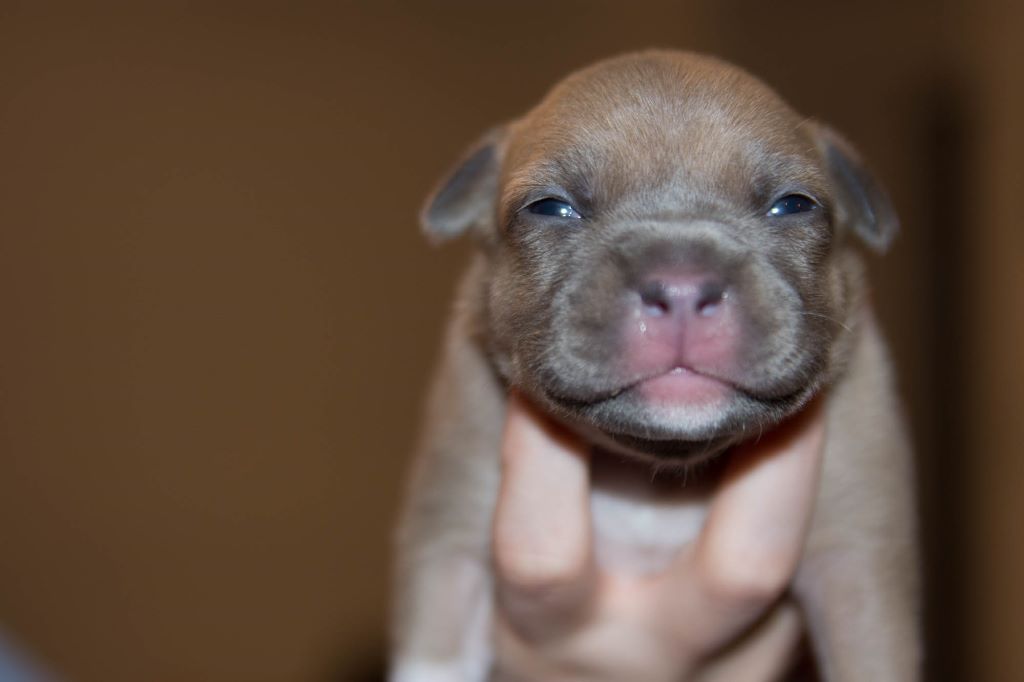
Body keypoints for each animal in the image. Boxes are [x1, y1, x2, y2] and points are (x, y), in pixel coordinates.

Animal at [391, 50, 919, 680]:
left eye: (794, 205)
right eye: (549, 207)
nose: (682, 284)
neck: (653, 477)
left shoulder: (857, 559)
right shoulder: (450, 534)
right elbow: (434, 648)